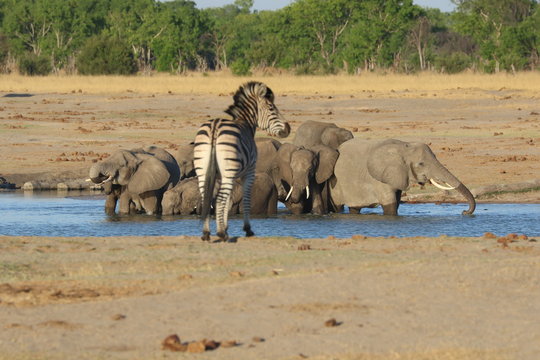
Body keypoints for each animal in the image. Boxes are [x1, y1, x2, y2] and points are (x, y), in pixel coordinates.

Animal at [192, 80, 288, 240]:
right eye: (271, 108)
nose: (288, 129)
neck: (246, 124)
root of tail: (215, 127)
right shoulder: (249, 172)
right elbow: (246, 198)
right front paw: (247, 229)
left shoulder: (224, 176)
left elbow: (228, 199)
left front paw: (225, 227)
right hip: (229, 170)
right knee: (219, 198)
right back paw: (220, 234)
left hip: (204, 169)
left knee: (206, 197)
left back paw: (206, 233)